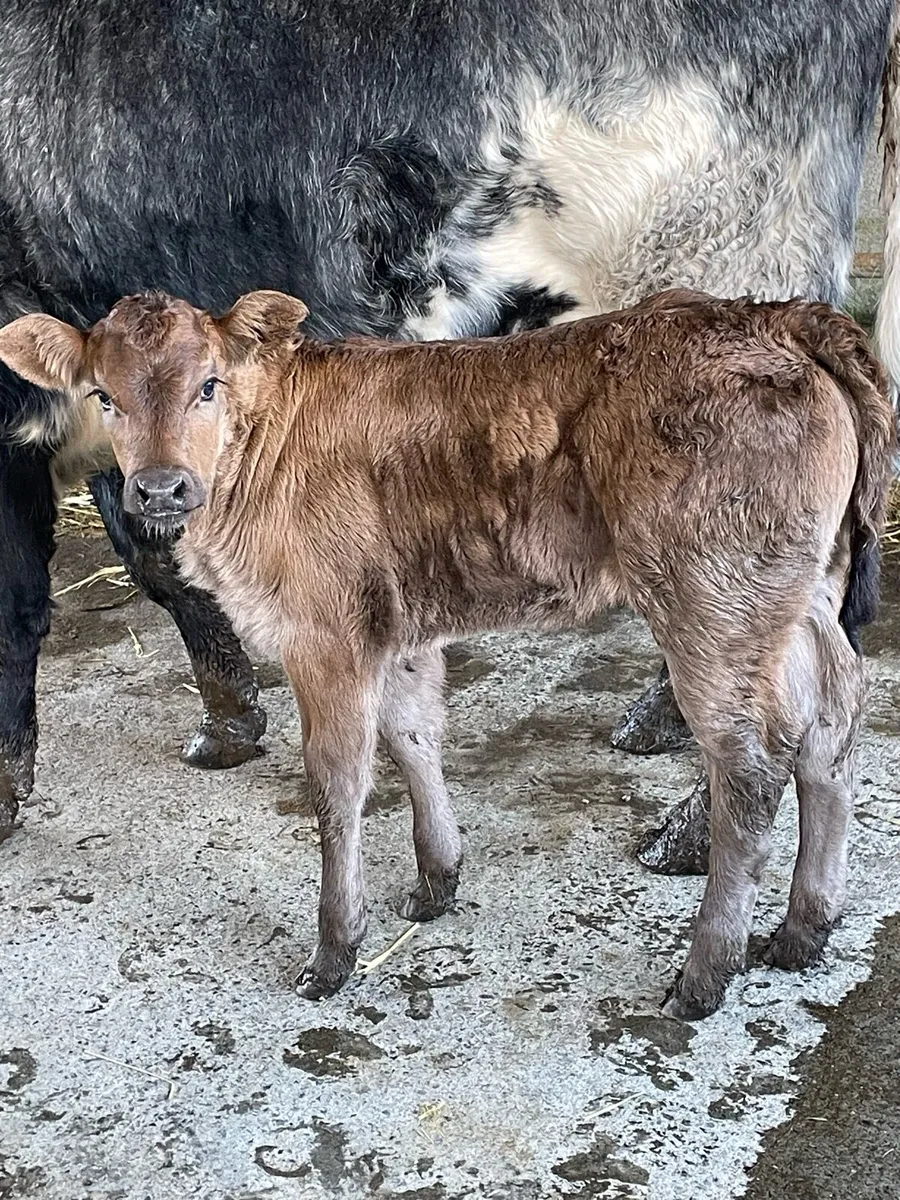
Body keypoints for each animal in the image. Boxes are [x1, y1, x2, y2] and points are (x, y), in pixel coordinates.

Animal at [0, 286, 892, 1017]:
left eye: (209, 385)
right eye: (104, 395)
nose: (158, 489)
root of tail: (778, 315)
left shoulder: (324, 634)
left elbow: (338, 783)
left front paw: (335, 951)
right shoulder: (394, 628)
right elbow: (413, 737)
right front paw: (437, 880)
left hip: (712, 604)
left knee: (751, 769)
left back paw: (706, 974)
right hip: (799, 597)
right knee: (832, 730)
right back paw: (802, 931)